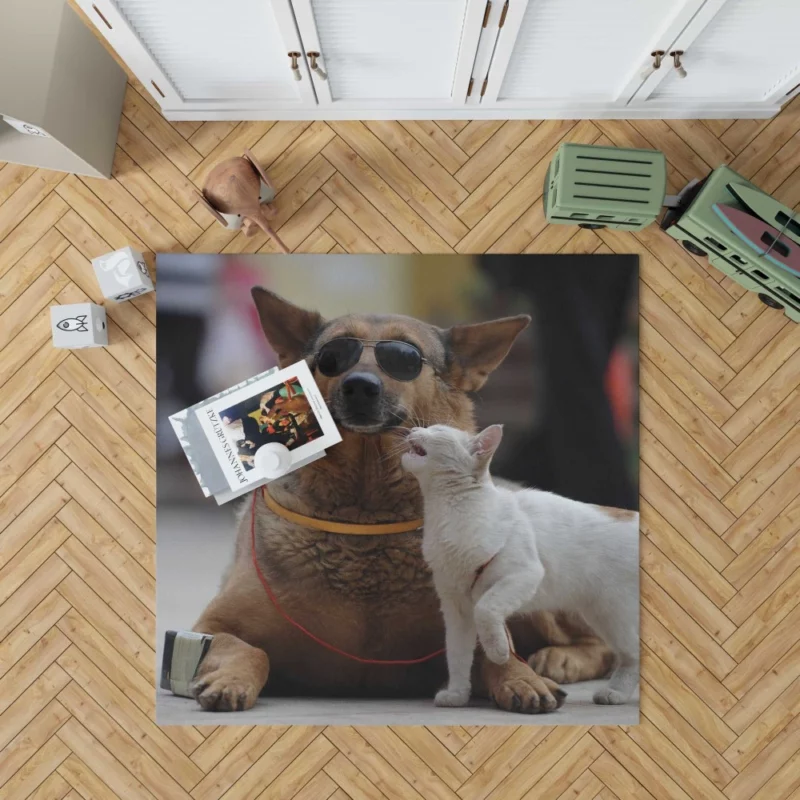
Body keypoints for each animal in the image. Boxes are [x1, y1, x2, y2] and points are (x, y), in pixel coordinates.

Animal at [189, 288, 612, 712]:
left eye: (405, 357)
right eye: (332, 355)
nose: (360, 385)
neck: (366, 510)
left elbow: (501, 655)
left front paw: (521, 678)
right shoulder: (211, 627)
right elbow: (248, 649)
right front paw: (231, 678)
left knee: (602, 645)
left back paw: (560, 659)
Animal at [404, 424, 640, 708]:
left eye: (438, 429)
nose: (414, 427)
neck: (447, 511)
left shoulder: (521, 575)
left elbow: (486, 611)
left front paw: (498, 651)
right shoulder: (456, 609)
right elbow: (457, 656)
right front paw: (457, 694)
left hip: (617, 615)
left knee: (634, 654)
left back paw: (616, 692)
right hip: (602, 615)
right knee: (629, 656)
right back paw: (615, 692)